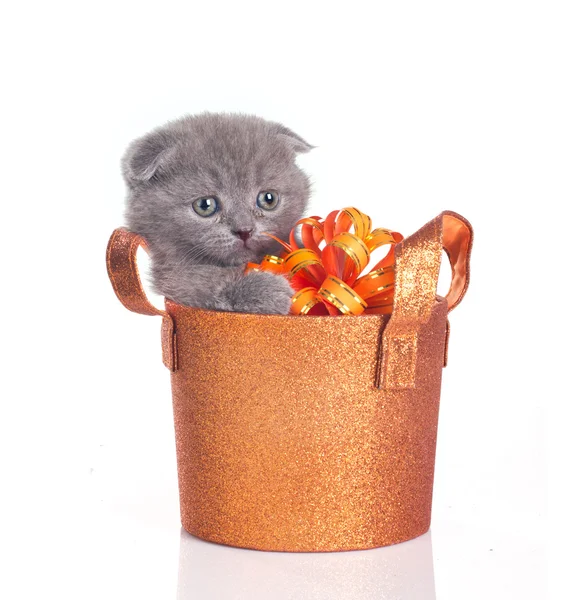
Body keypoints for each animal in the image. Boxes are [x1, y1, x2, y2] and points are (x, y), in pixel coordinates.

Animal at [122, 114, 316, 316]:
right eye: (204, 205)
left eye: (268, 199)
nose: (244, 230)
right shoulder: (172, 275)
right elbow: (203, 280)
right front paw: (266, 289)